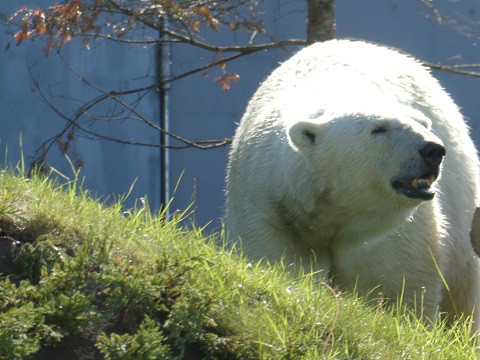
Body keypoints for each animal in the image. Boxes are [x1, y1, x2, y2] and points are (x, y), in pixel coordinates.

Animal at [227, 40, 480, 330]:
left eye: (423, 123)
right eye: (379, 129)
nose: (433, 149)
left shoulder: (390, 232)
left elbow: (398, 284)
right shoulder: (269, 204)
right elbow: (278, 261)